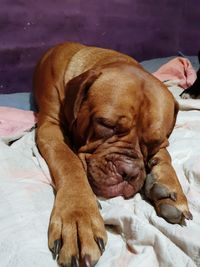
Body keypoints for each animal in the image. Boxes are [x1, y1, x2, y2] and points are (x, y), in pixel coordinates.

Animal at [33, 42, 193, 267]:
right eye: (106, 125)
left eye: (153, 142)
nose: (129, 172)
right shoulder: (50, 129)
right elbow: (68, 161)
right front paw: (78, 214)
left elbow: (165, 155)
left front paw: (168, 186)